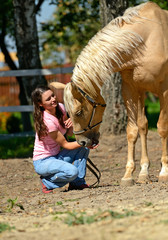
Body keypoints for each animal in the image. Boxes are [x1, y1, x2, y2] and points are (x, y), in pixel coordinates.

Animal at [56, 1, 168, 186]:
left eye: (78, 112)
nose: (82, 142)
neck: (144, 42)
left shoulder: (164, 90)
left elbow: (162, 127)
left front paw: (164, 171)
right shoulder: (131, 90)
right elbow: (135, 129)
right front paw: (133, 174)